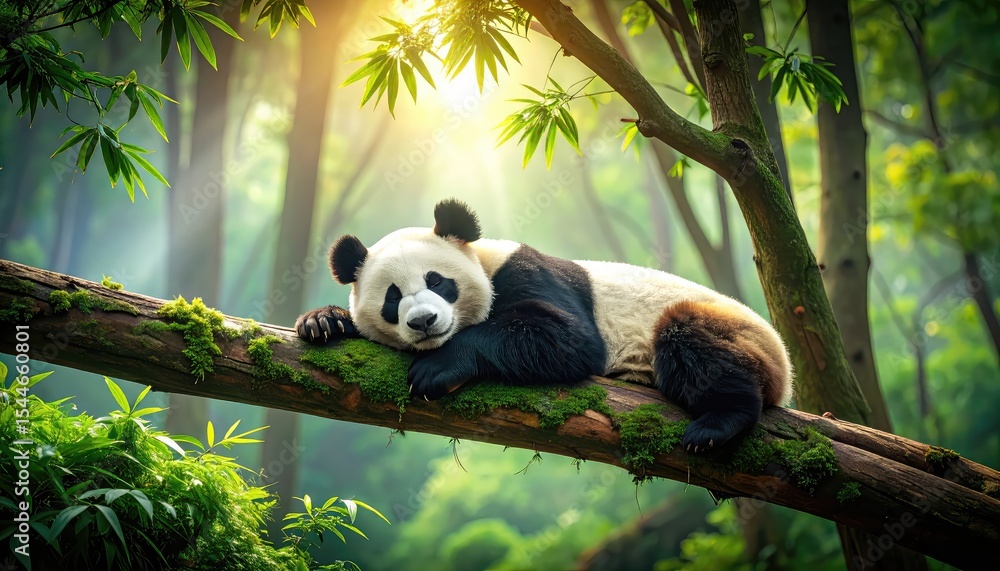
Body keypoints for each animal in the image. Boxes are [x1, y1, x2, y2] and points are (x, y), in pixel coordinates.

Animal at [296, 199, 793, 452]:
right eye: (392, 298)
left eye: (437, 281)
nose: (423, 322)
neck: (485, 263)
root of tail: (786, 369)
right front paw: (323, 322)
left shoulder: (529, 273)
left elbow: (570, 339)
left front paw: (438, 369)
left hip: (732, 331)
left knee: (690, 340)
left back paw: (718, 423)